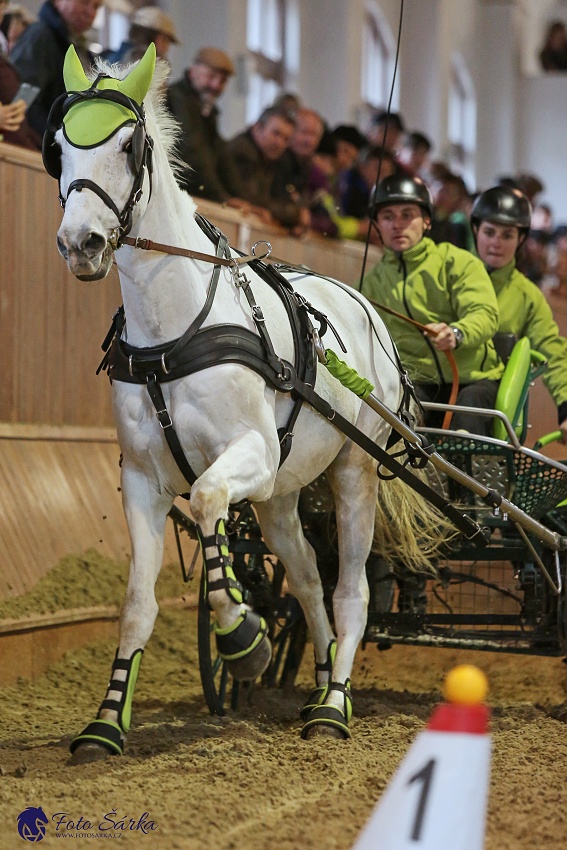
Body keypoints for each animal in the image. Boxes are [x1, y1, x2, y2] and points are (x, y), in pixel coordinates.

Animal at [45, 44, 444, 760]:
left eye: (126, 146)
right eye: (59, 147)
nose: (80, 243)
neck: (174, 335)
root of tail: (369, 311)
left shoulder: (247, 453)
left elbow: (206, 499)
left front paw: (241, 638)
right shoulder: (141, 479)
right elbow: (137, 603)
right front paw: (106, 722)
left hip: (354, 470)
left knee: (350, 590)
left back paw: (333, 706)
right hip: (281, 495)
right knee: (308, 579)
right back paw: (318, 680)